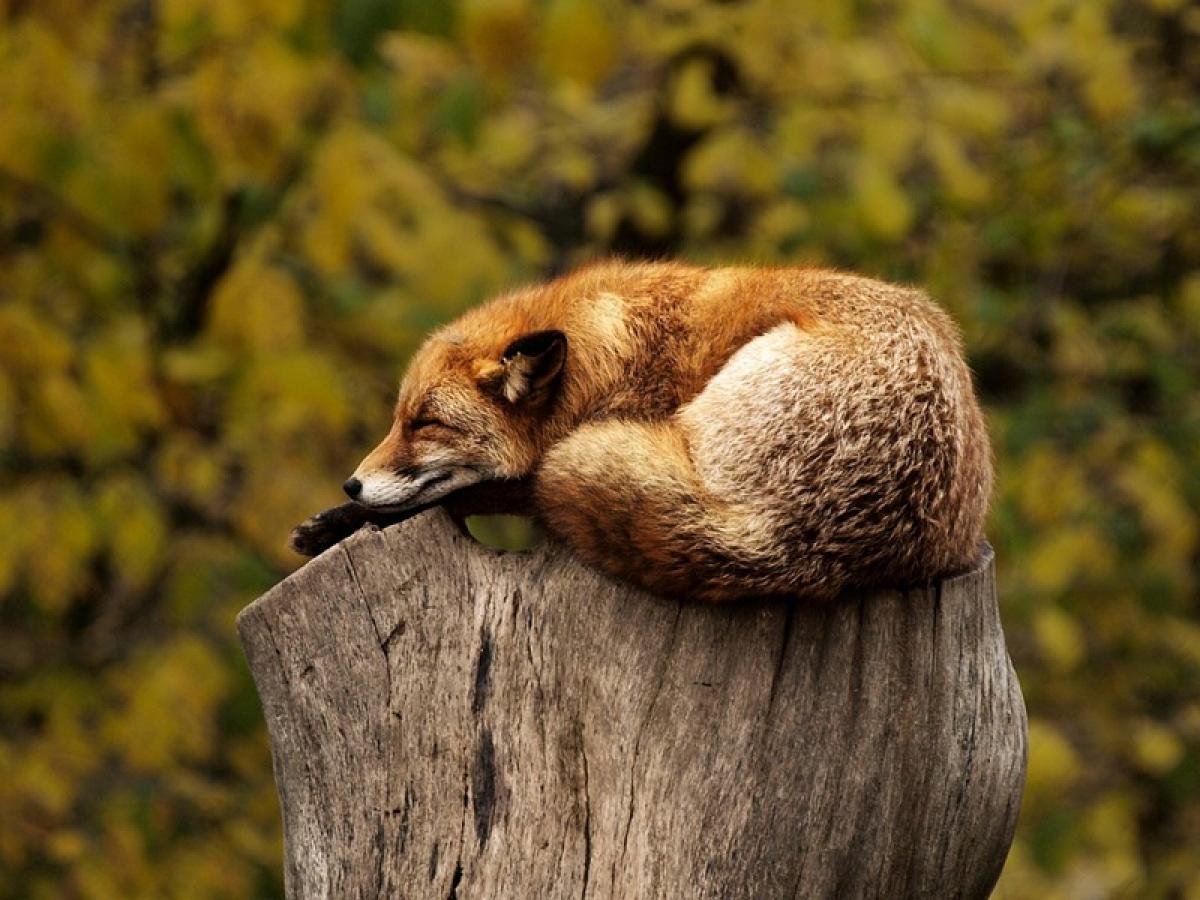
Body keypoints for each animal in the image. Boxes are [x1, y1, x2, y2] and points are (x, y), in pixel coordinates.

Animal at [285, 259, 988, 607]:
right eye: (397, 419)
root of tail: (797, 541)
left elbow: (477, 492)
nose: (351, 484)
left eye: (425, 424)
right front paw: (335, 521)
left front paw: (342, 521)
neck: (608, 356)